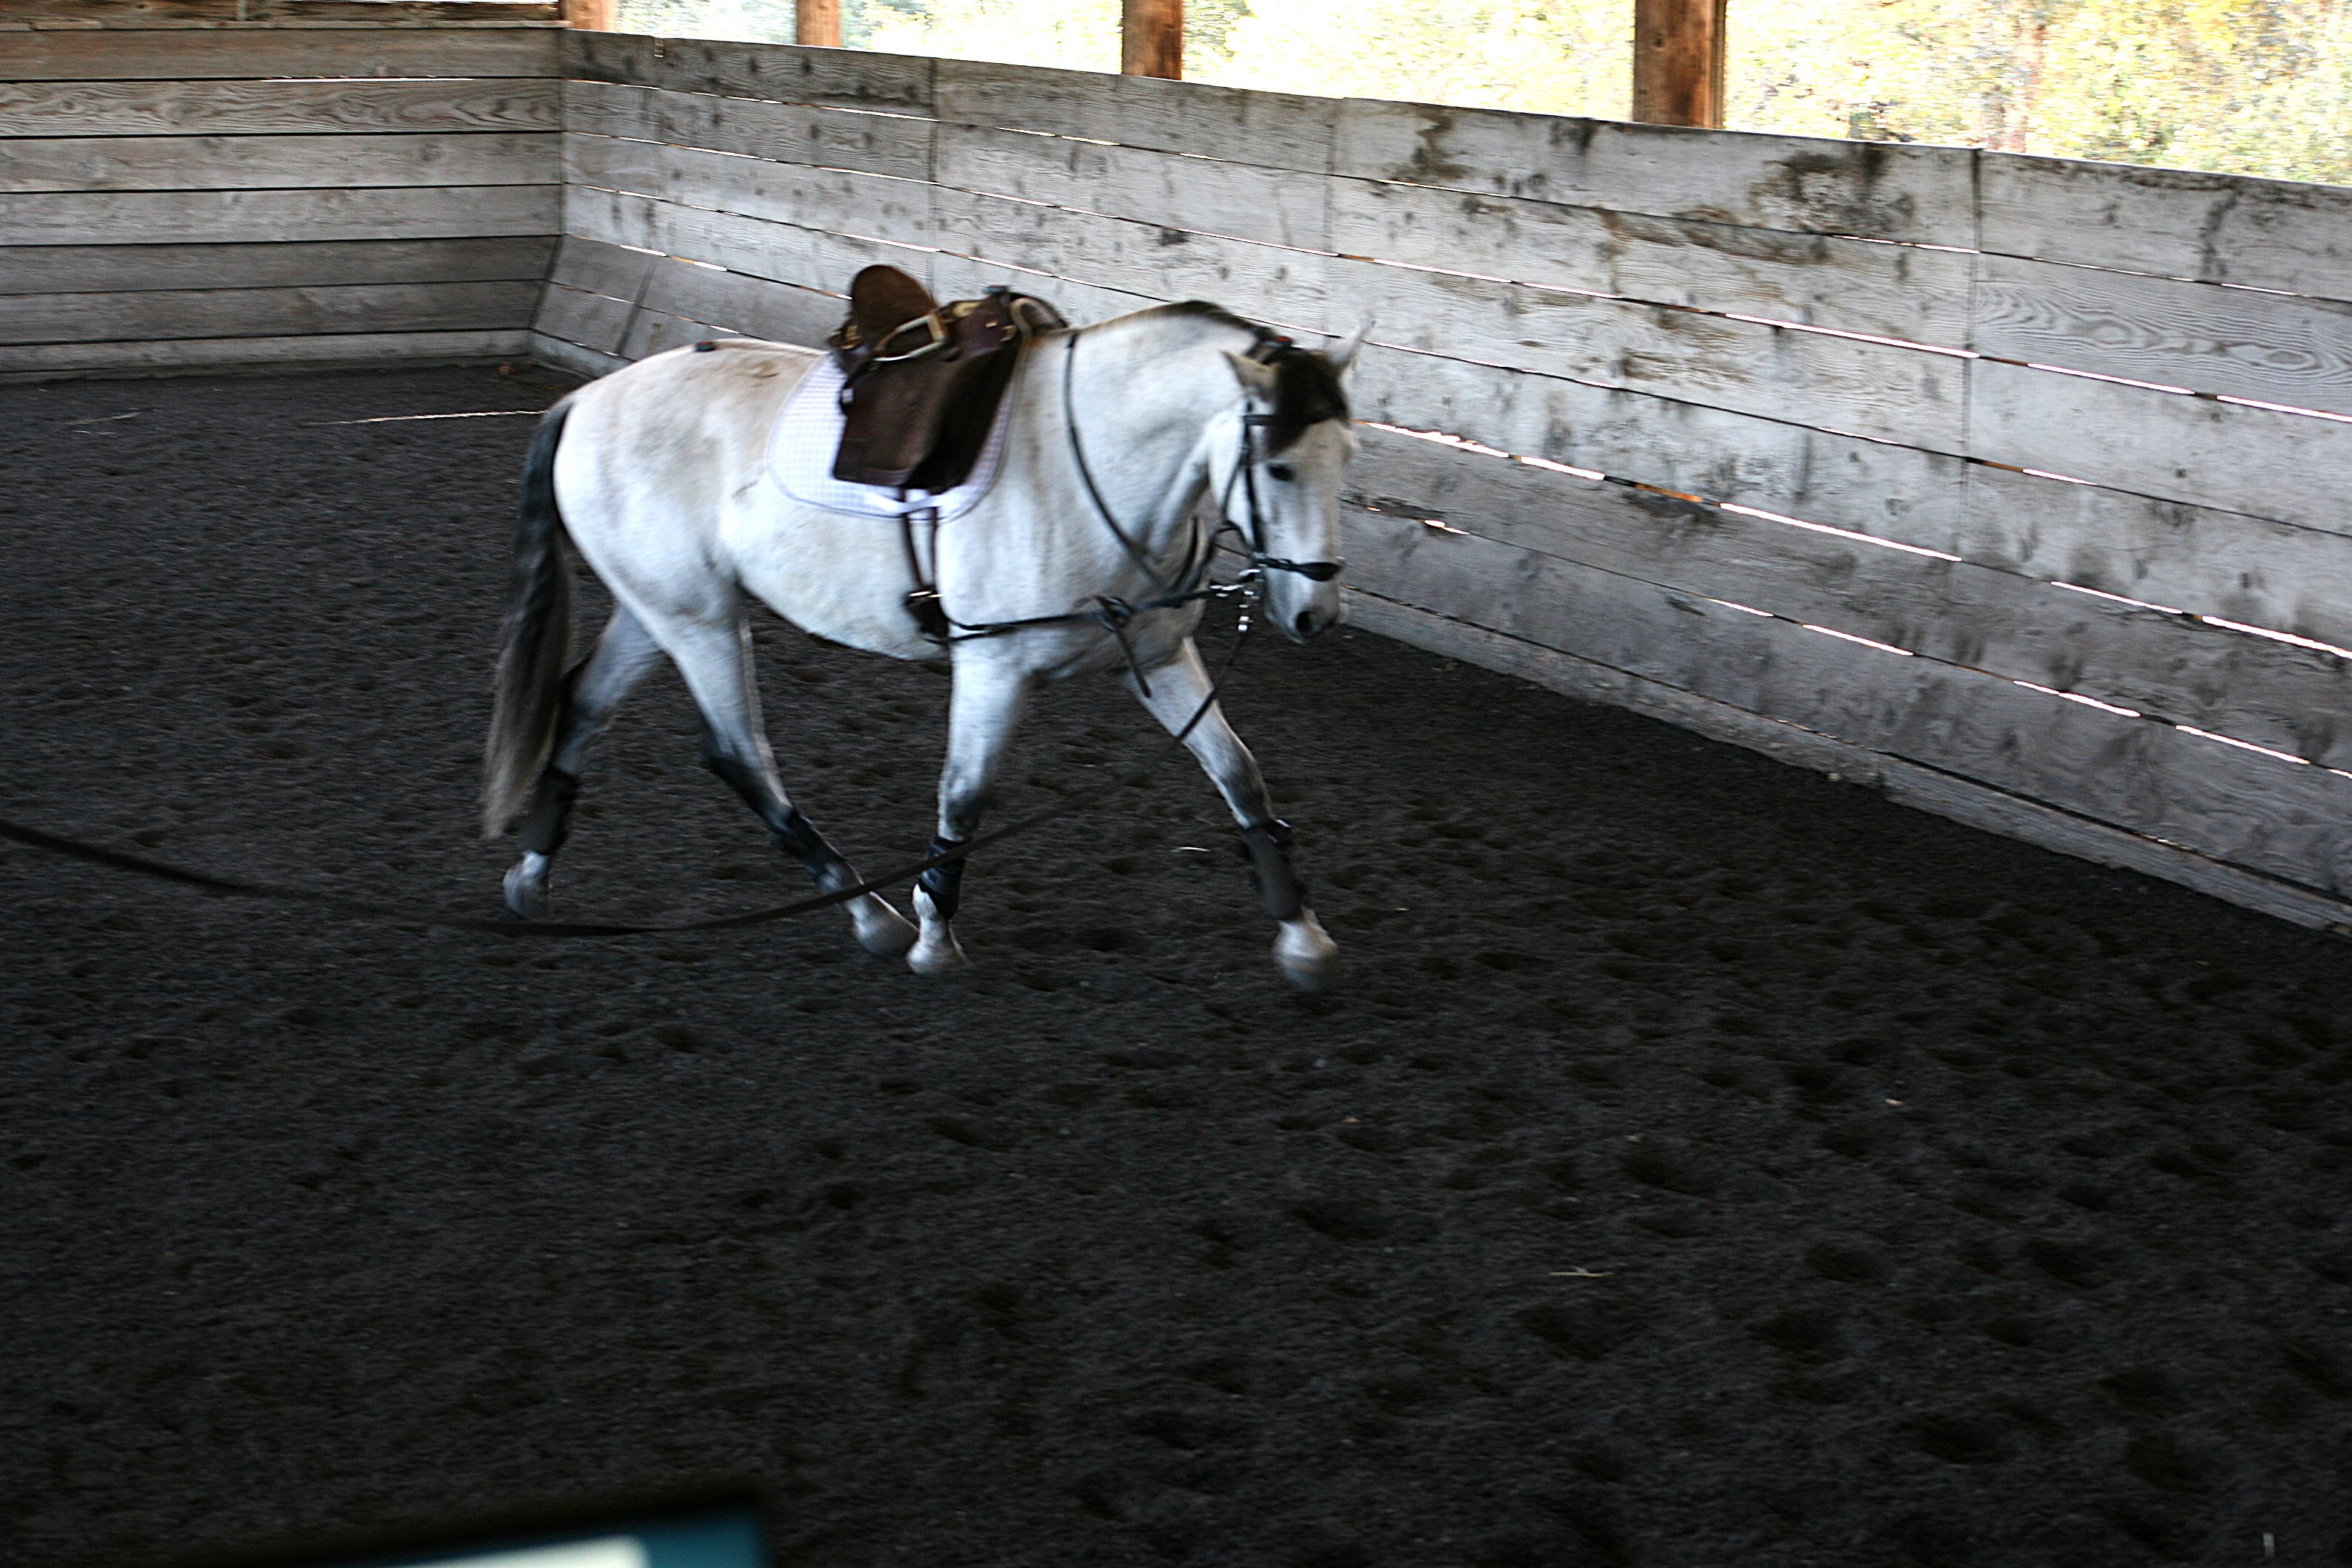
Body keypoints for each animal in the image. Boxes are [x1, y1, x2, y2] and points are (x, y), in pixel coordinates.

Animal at [480, 300, 1363, 990]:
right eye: (1279, 468)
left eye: (1346, 457)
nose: (1314, 612)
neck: (1088, 468)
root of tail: (586, 398)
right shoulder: (992, 667)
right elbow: (964, 795)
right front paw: (935, 937)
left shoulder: (1155, 660)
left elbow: (1242, 778)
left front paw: (1304, 938)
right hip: (698, 621)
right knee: (739, 754)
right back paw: (870, 915)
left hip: (655, 609)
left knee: (580, 703)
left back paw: (531, 880)